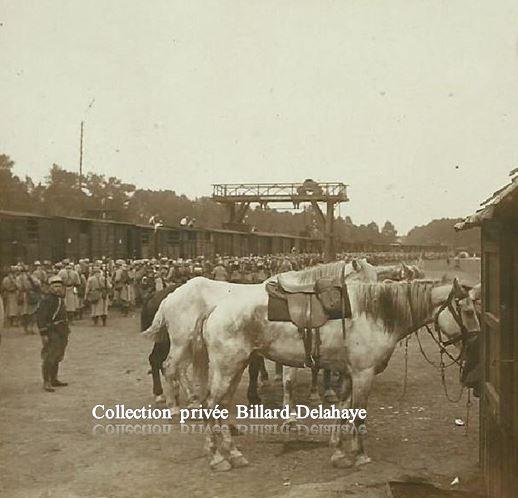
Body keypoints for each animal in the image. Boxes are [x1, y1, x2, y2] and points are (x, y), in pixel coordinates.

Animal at [191, 280, 480, 470]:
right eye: (467, 311)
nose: (476, 341)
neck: (375, 314)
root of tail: (215, 309)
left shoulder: (350, 375)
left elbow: (343, 411)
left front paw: (340, 452)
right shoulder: (364, 374)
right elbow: (358, 414)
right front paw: (360, 455)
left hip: (235, 368)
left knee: (221, 407)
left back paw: (233, 454)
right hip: (228, 367)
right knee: (211, 406)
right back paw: (218, 458)